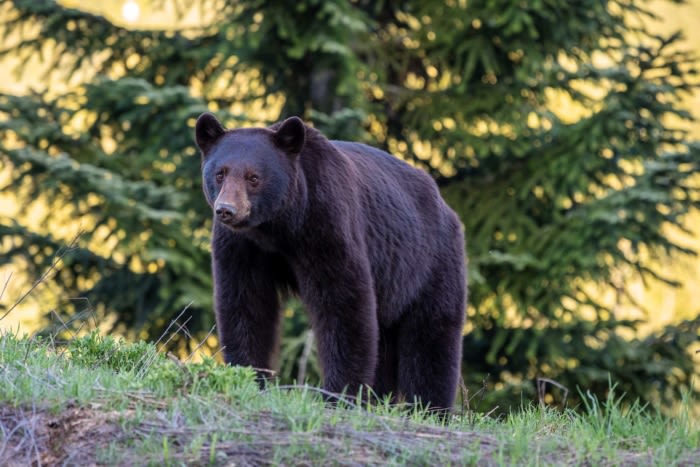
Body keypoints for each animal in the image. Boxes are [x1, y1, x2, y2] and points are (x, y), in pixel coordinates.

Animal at [194, 115, 468, 412]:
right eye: (220, 173)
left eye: (253, 177)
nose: (226, 210)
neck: (277, 227)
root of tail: (448, 209)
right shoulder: (242, 248)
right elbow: (246, 305)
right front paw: (249, 377)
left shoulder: (326, 223)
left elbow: (343, 304)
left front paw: (340, 394)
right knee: (385, 341)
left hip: (430, 263)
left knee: (431, 336)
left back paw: (431, 408)